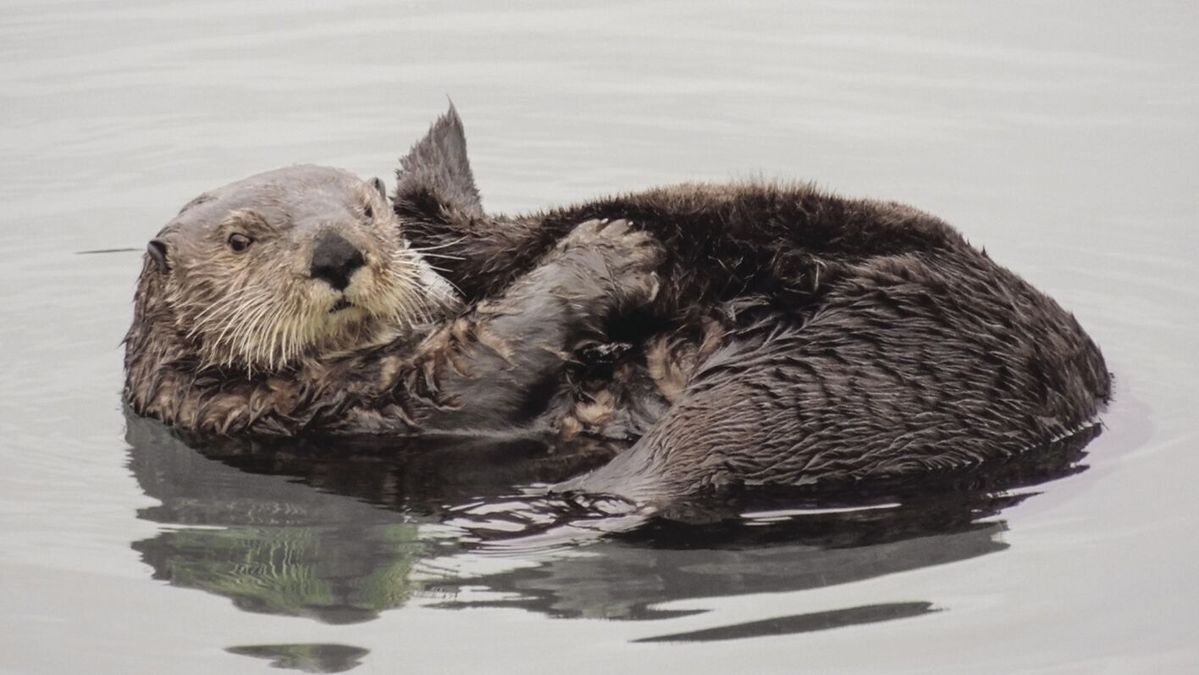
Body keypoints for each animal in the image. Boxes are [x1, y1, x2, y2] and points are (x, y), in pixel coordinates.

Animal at [123, 165, 662, 436]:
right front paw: (608, 251)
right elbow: (477, 364)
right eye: (239, 241)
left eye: (366, 211)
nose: (335, 253)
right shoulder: (283, 403)